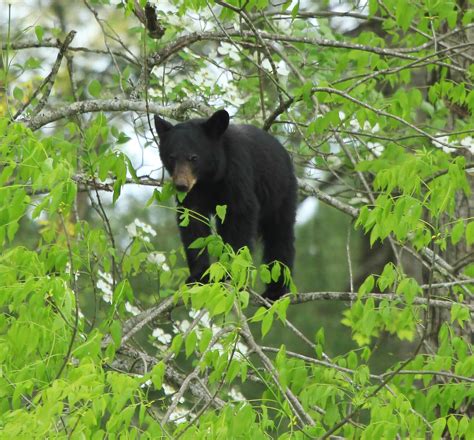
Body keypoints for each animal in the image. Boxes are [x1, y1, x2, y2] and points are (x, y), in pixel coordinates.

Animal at [155, 110, 296, 300]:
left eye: (194, 157)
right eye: (171, 157)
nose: (181, 185)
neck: (209, 179)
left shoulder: (237, 173)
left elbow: (242, 214)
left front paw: (230, 272)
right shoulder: (195, 193)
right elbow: (192, 224)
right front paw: (198, 275)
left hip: (280, 192)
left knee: (280, 235)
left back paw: (276, 291)